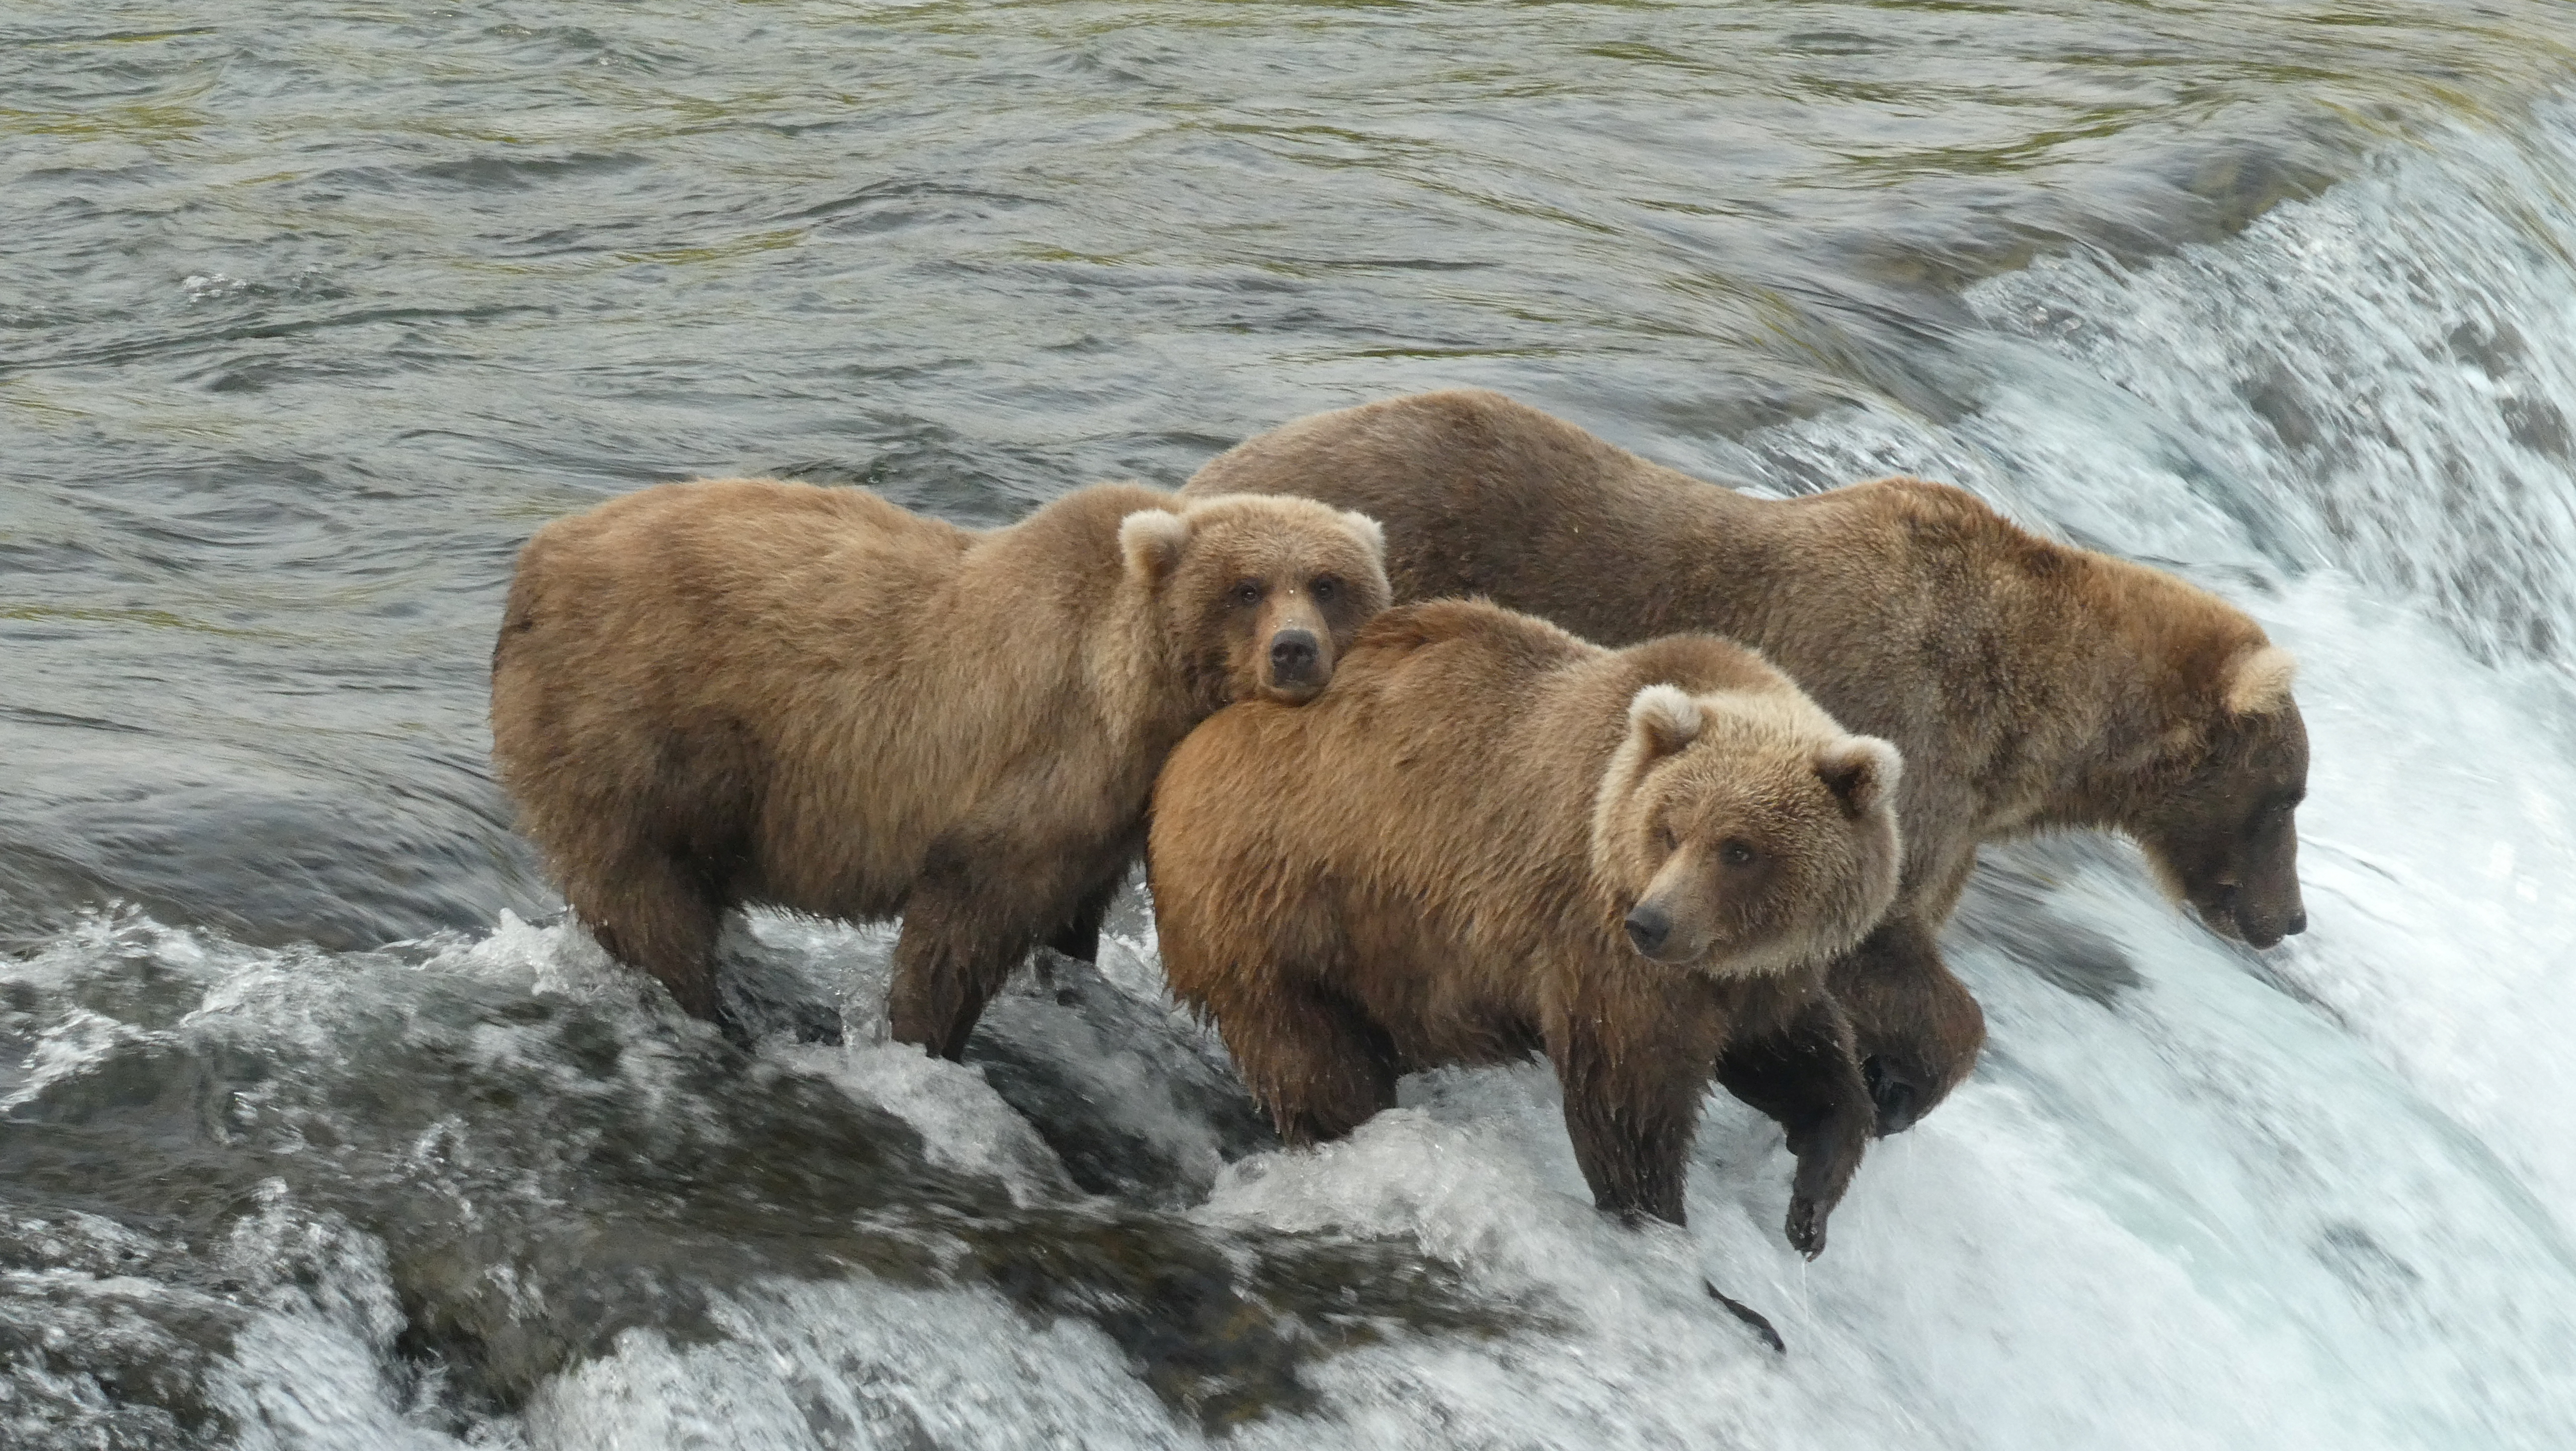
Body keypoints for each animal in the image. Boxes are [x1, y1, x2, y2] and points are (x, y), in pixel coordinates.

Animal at [494, 477, 1401, 1056]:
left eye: (1327, 583)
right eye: (1247, 588)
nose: (1293, 651)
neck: (1138, 696)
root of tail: (535, 561)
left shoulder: (1105, 811)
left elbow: (1071, 912)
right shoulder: (1034, 766)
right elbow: (963, 921)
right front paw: (924, 1035)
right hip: (638, 726)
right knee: (644, 892)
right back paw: (703, 1007)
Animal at [1159, 595, 1906, 1252]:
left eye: (1740, 849)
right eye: (1670, 830)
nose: (1652, 924)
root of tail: (1186, 754)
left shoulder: (1756, 974)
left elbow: (1795, 1059)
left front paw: (1812, 1202)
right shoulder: (1606, 950)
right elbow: (1629, 1099)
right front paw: (1657, 1217)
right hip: (1279, 909)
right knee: (1312, 1060)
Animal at [1185, 392, 2318, 1139]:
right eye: (2288, 797)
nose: (2290, 916)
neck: (2023, 725)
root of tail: (1206, 481)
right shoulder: (1894, 728)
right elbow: (1878, 948)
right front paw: (1899, 1085)